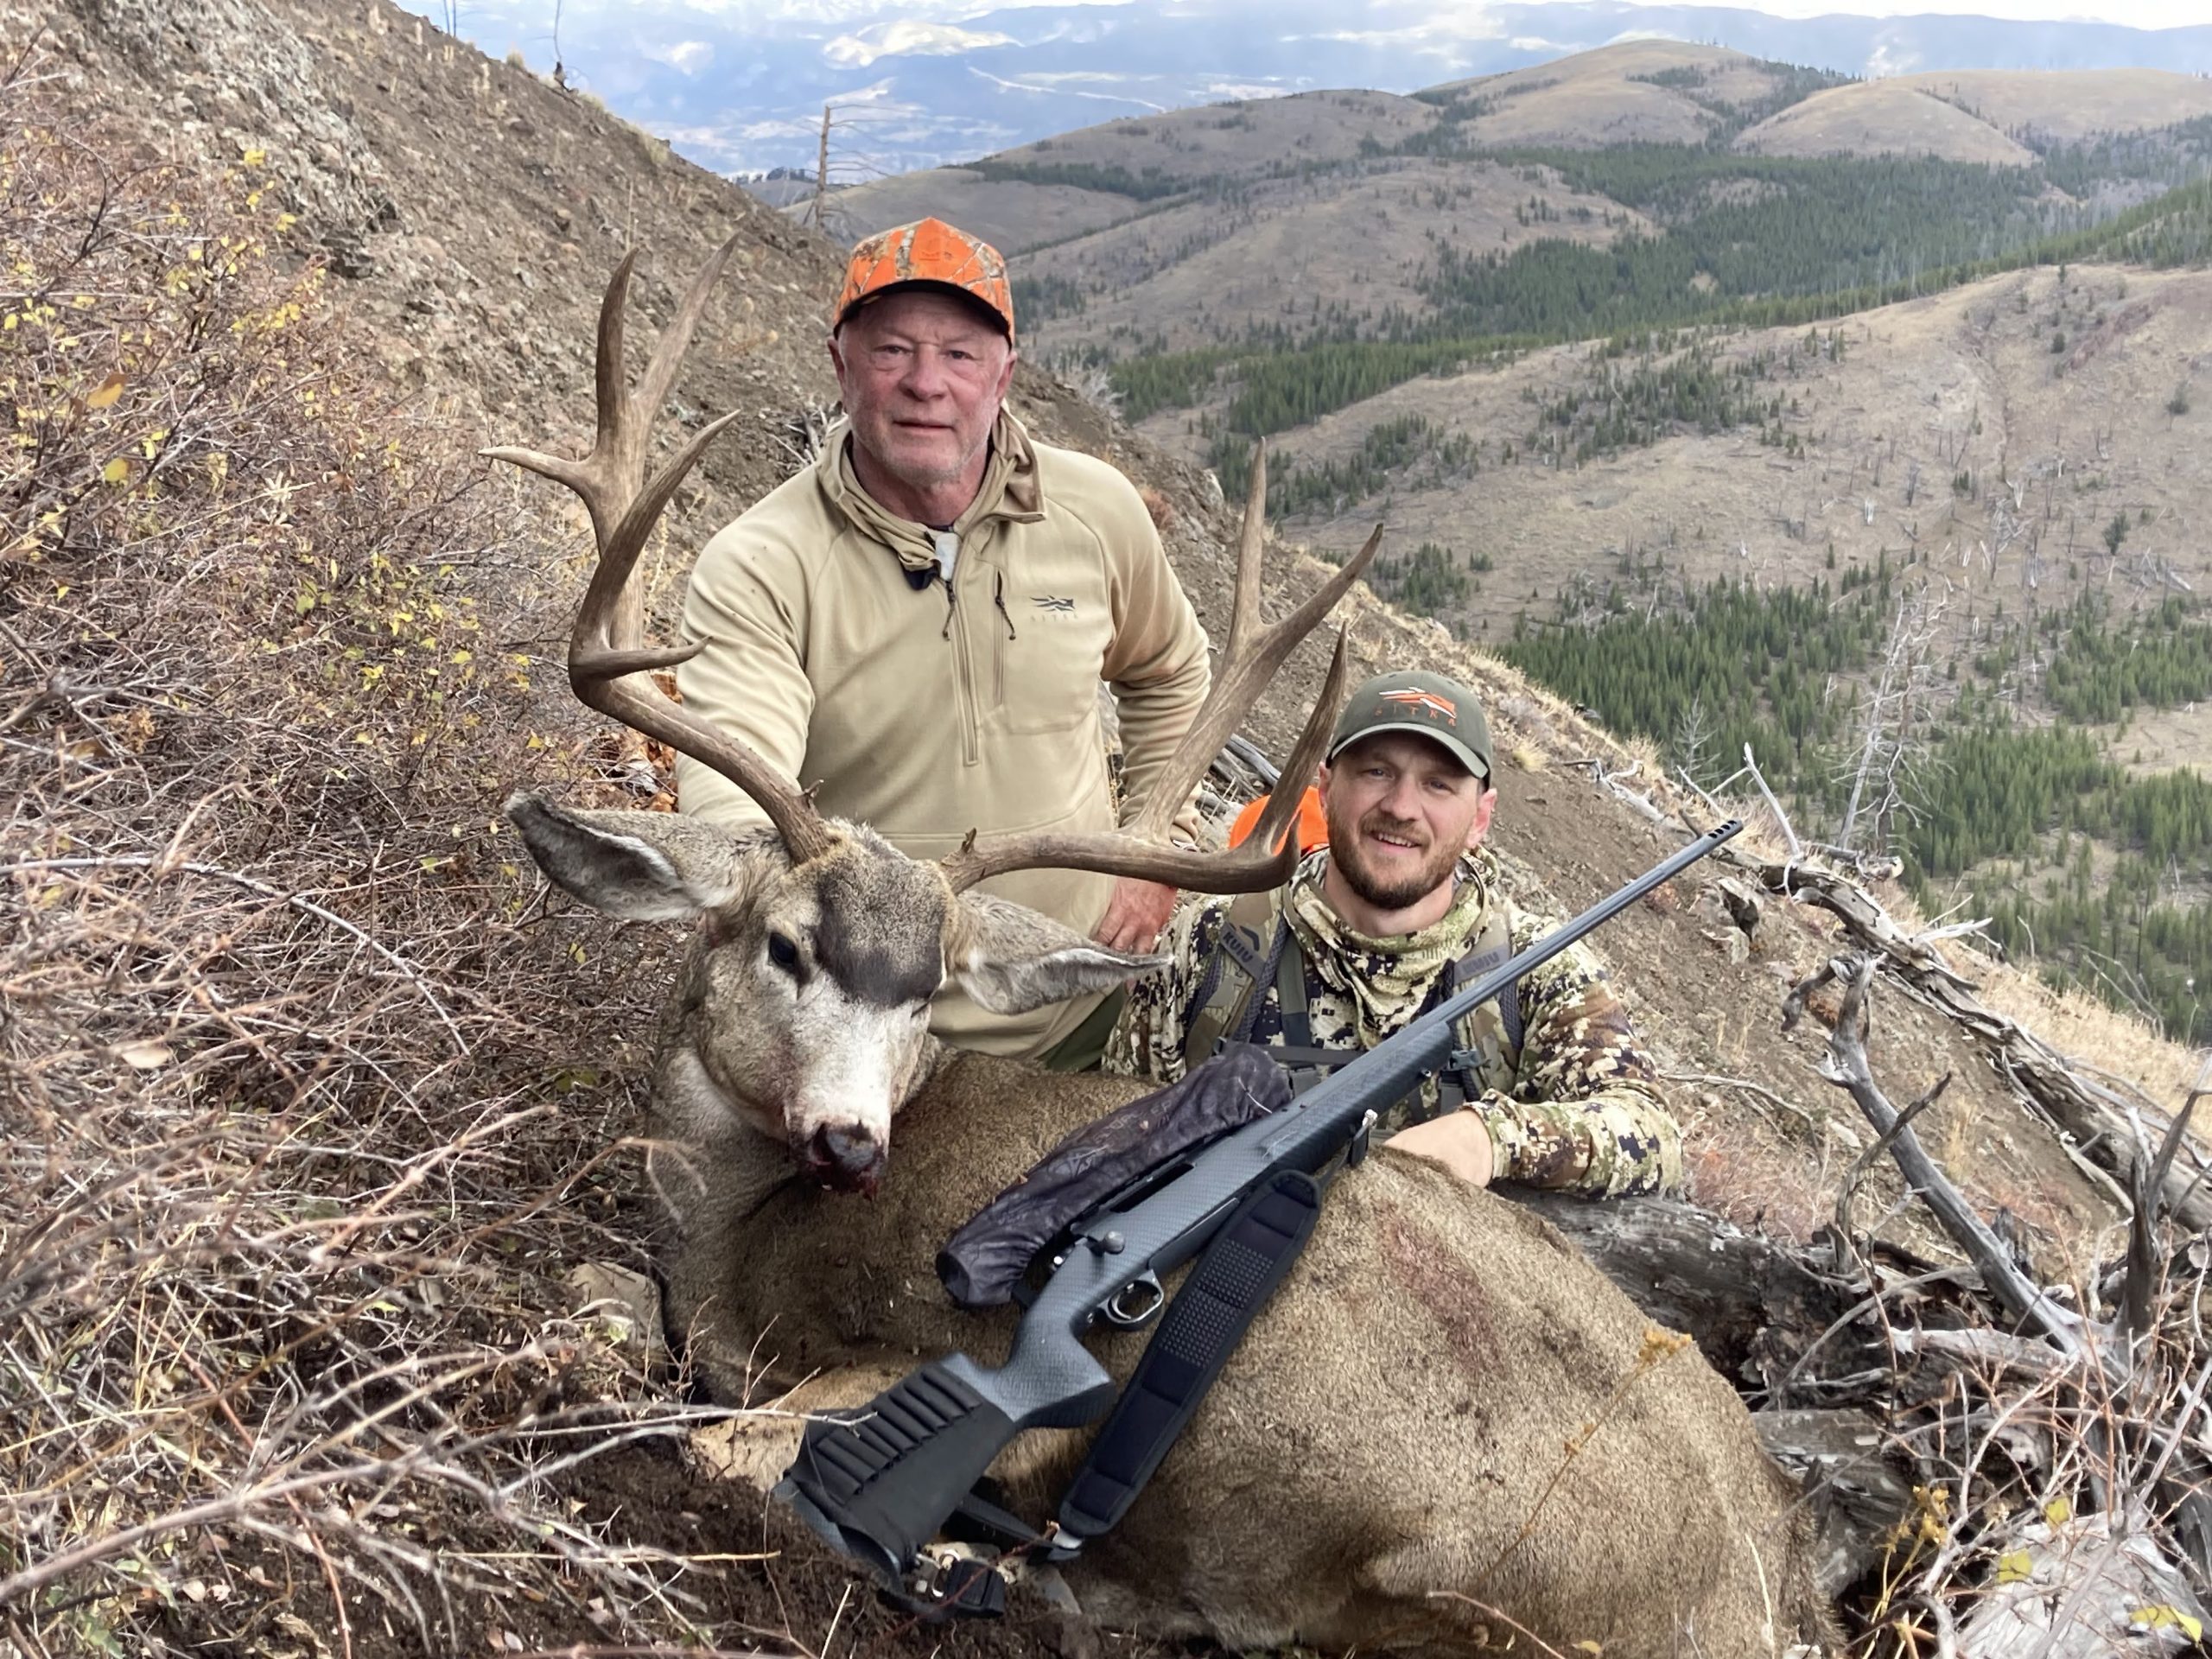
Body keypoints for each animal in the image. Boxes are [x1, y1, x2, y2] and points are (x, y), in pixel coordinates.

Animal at [490, 241, 1838, 1657]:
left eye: (929, 997)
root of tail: (1785, 1586)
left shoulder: (949, 1376)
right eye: (787, 946)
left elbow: (715, 1439)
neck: (734, 1238)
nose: (853, 1141)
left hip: (1452, 1574)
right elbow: (595, 1294)